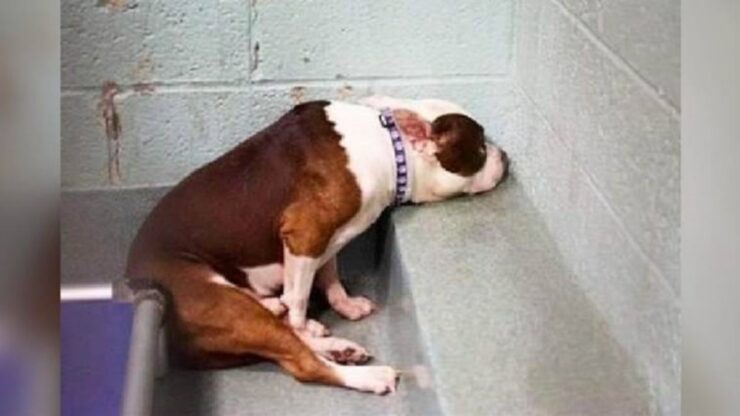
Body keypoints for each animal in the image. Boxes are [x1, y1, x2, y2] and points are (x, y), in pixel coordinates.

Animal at [127, 96, 508, 394]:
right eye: (480, 147)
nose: (504, 155)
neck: (390, 146)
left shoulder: (325, 239)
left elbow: (329, 274)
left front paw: (344, 305)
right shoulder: (305, 232)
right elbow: (298, 298)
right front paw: (305, 318)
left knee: (284, 332)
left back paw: (337, 346)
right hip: (219, 299)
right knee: (301, 360)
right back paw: (367, 374)